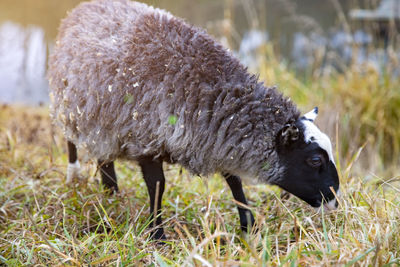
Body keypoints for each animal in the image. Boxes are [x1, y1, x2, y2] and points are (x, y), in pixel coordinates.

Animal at [48, 0, 340, 240]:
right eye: (315, 160)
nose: (335, 201)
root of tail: (80, 9)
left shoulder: (218, 141)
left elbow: (234, 181)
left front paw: (248, 228)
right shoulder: (147, 142)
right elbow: (157, 187)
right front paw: (157, 235)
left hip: (104, 123)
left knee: (104, 158)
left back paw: (111, 194)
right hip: (71, 109)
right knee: (72, 142)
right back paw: (76, 177)